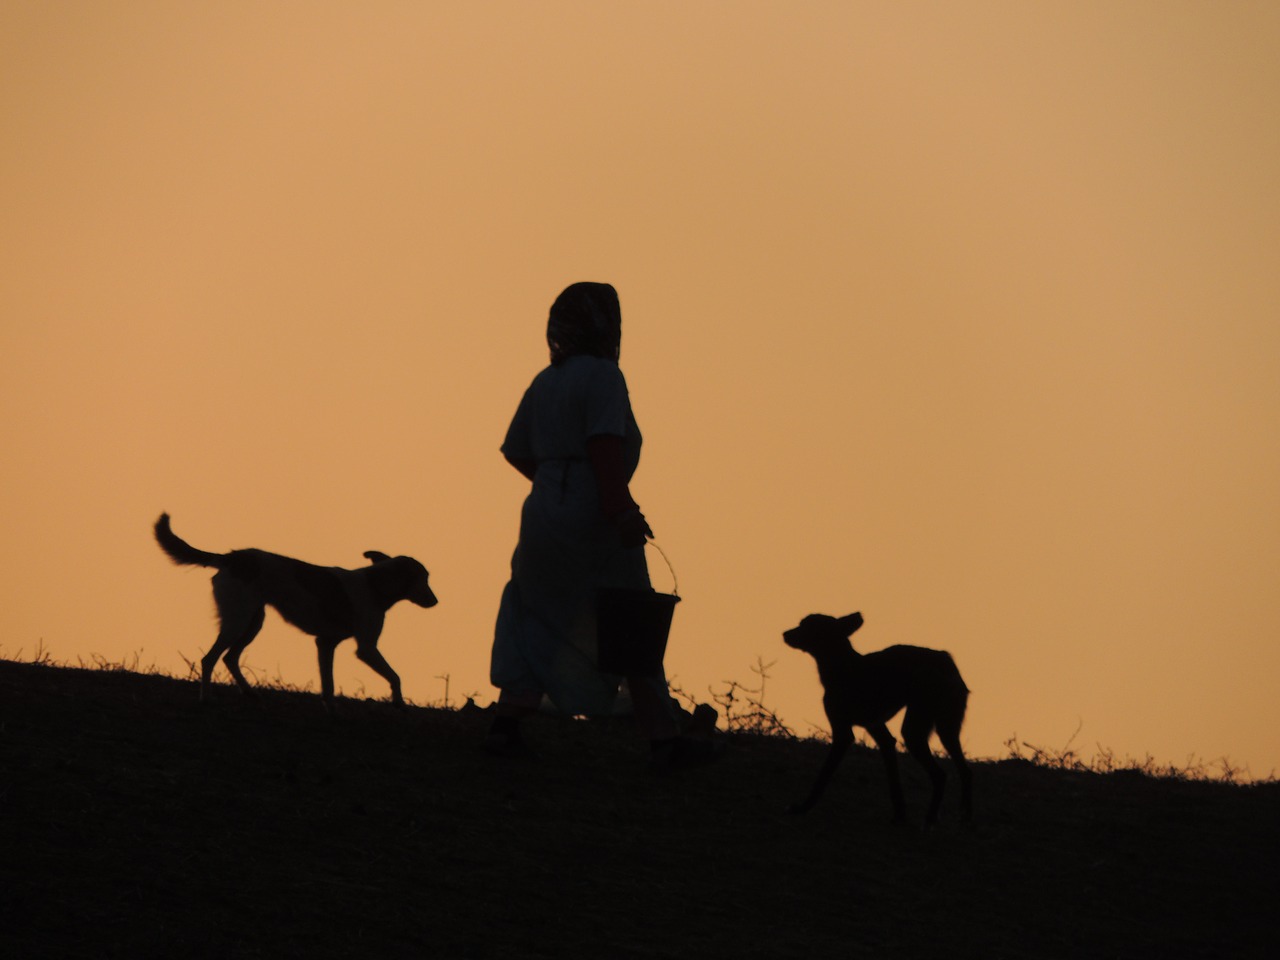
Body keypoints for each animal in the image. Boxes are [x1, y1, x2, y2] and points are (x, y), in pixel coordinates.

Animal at [155, 514, 440, 711]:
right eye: (424, 578)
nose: (436, 601)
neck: (375, 586)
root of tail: (233, 557)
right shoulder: (366, 648)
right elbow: (395, 676)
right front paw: (400, 703)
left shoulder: (326, 643)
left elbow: (328, 683)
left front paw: (330, 707)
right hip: (238, 620)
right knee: (209, 659)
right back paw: (206, 698)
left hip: (253, 622)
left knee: (230, 658)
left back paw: (249, 693)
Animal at [778, 616, 967, 829]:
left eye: (806, 625)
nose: (785, 634)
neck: (842, 667)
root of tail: (946, 659)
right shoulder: (878, 731)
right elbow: (894, 782)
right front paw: (899, 815)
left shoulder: (843, 734)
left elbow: (823, 776)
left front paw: (803, 808)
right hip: (947, 731)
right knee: (965, 772)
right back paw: (966, 819)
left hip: (915, 732)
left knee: (941, 775)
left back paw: (931, 819)